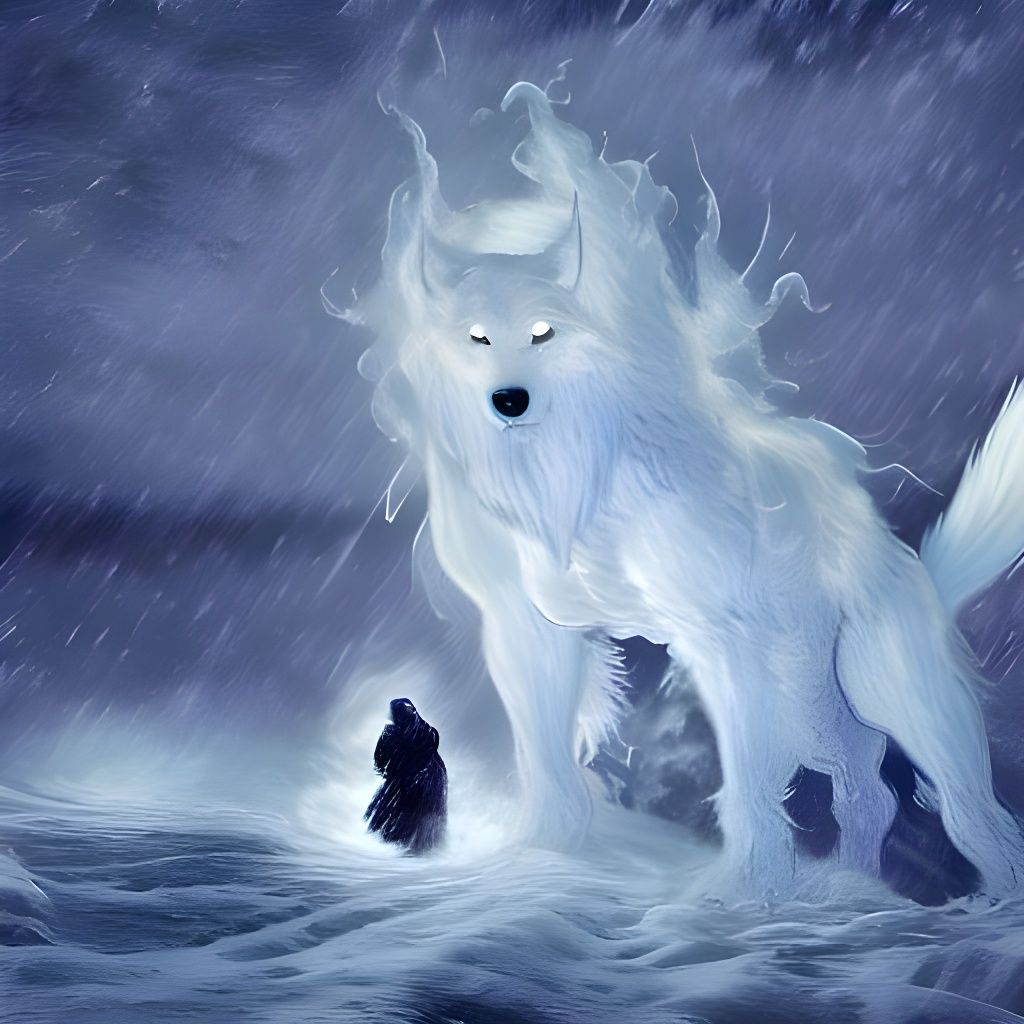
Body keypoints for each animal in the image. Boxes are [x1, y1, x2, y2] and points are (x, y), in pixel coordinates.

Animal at [331, 81, 1024, 895]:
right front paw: (543, 856)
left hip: (880, 689)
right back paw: (848, 892)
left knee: (973, 814)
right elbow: (547, 760)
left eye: (544, 332)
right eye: (475, 337)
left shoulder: (722, 636)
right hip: (818, 708)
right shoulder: (526, 630)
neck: (568, 481)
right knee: (868, 796)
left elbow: (749, 787)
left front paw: (747, 896)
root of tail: (906, 558)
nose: (509, 400)